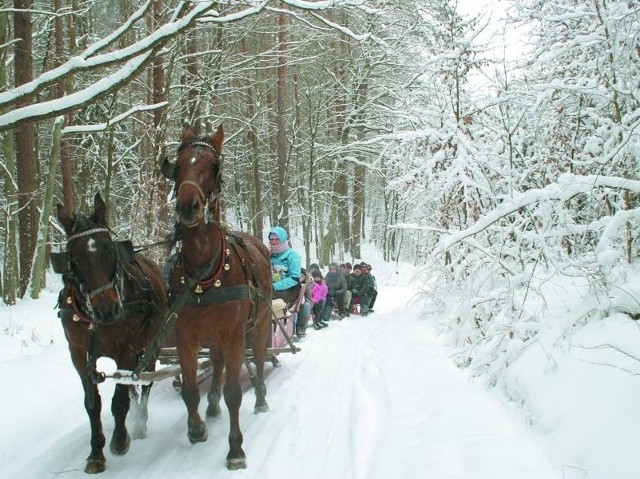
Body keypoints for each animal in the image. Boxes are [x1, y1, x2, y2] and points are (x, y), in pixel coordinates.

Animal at [52, 193, 168, 474]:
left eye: (110, 251)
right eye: (74, 260)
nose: (108, 309)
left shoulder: (127, 350)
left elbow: (119, 401)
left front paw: (119, 440)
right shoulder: (79, 354)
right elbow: (92, 403)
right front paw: (96, 452)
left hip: (152, 347)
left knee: (144, 383)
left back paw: (140, 423)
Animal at [162, 124, 272, 472]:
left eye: (214, 166)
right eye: (178, 164)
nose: (187, 206)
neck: (204, 273)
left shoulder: (236, 335)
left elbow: (235, 392)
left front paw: (235, 448)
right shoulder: (185, 336)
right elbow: (188, 390)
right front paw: (196, 428)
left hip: (259, 326)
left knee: (259, 359)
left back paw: (261, 399)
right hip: (213, 335)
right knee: (218, 362)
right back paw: (211, 406)